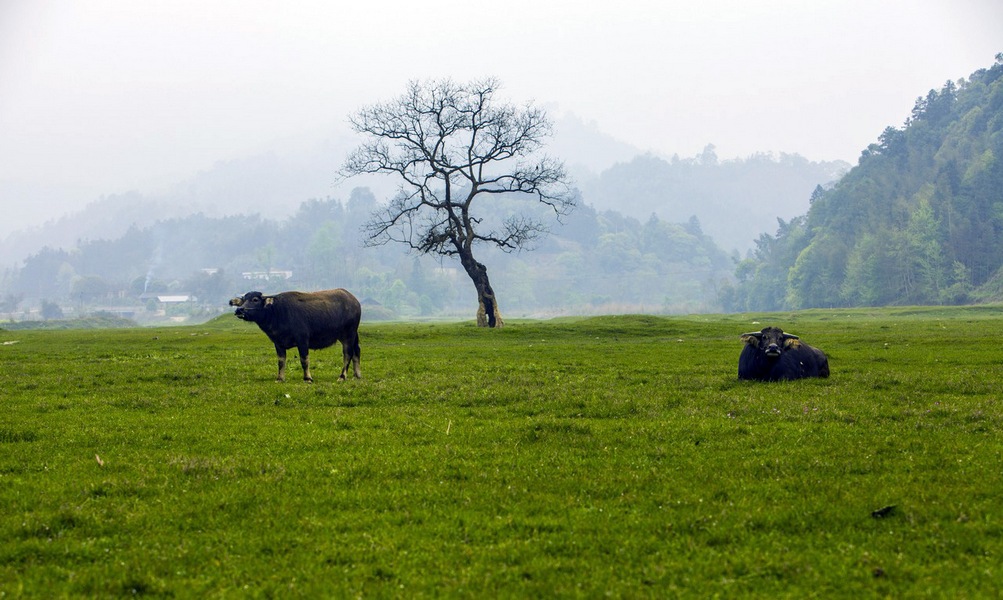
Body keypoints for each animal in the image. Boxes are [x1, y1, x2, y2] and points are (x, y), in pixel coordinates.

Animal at [229, 288, 363, 383]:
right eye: (243, 300)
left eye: (255, 299)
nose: (239, 310)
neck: (277, 312)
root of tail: (355, 301)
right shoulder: (278, 343)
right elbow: (281, 361)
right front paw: (280, 378)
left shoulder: (302, 340)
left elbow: (304, 360)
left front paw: (307, 378)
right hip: (350, 335)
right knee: (356, 351)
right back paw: (357, 375)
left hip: (348, 334)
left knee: (348, 354)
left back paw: (342, 376)